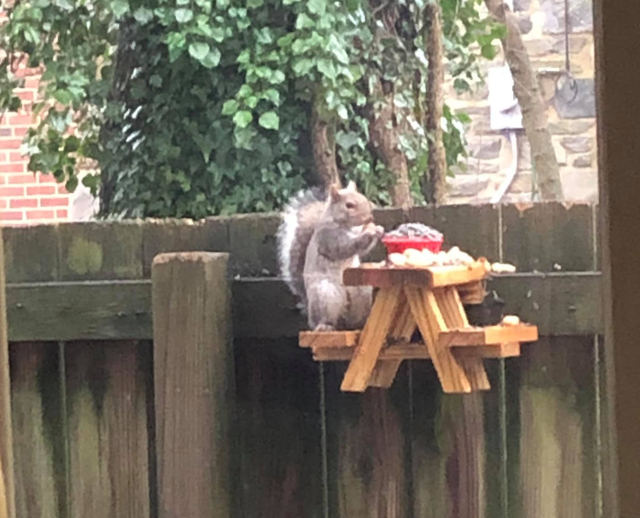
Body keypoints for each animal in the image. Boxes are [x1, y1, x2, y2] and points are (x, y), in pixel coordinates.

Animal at [277, 181, 384, 331]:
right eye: (349, 205)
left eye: (364, 198)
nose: (369, 218)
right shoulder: (328, 237)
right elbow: (345, 247)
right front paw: (369, 232)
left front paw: (377, 229)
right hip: (326, 295)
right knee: (325, 319)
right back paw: (325, 325)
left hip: (360, 291)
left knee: (351, 320)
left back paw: (359, 324)